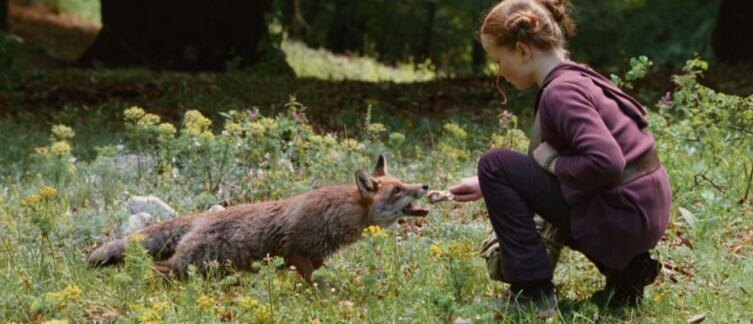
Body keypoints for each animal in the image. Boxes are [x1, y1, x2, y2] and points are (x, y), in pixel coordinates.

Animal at [88, 154, 428, 280]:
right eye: (398, 189)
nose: (425, 185)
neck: (336, 216)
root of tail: (198, 218)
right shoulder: (297, 253)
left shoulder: (313, 258)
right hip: (192, 265)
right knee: (157, 270)